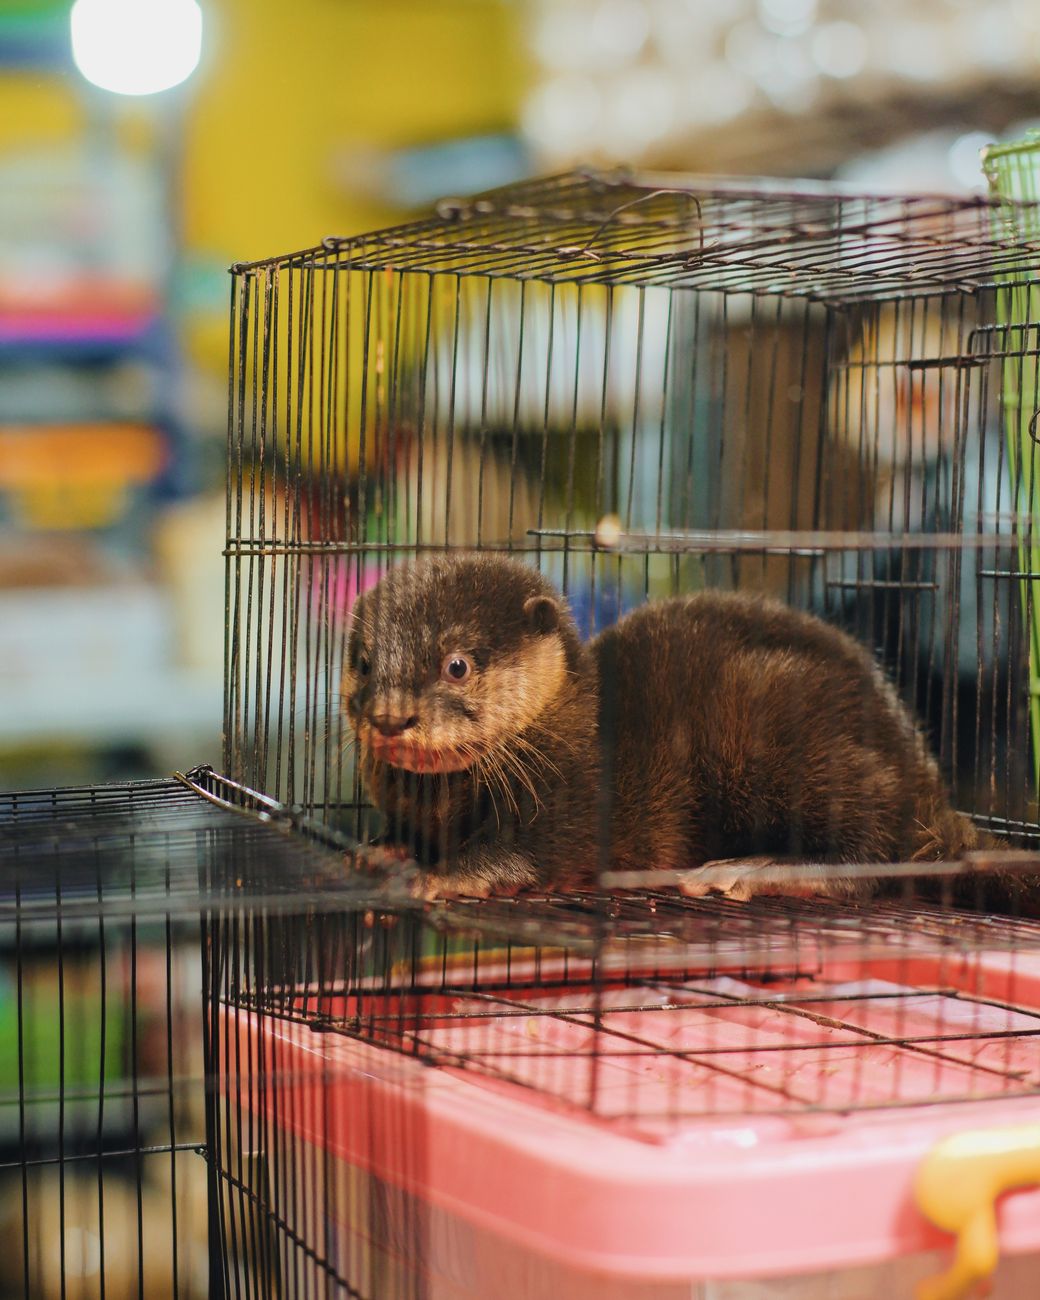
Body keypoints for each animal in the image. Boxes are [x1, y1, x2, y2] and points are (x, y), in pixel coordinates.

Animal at [342, 553, 1008, 902]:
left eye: (457, 664)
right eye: (366, 662)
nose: (390, 718)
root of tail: (925, 780)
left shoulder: (573, 795)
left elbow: (525, 853)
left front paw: (444, 876)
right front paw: (385, 850)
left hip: (777, 723)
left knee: (875, 853)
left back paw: (753, 869)